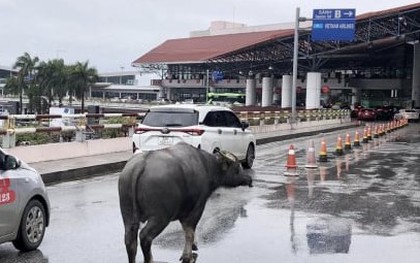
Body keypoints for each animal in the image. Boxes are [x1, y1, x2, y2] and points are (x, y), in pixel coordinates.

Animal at [118, 143, 253, 262]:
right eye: (237, 168)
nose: (249, 179)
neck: (206, 166)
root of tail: (141, 164)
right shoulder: (197, 208)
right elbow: (190, 232)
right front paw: (188, 255)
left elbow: (186, 231)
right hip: (160, 217)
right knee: (145, 237)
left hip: (127, 214)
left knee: (130, 240)